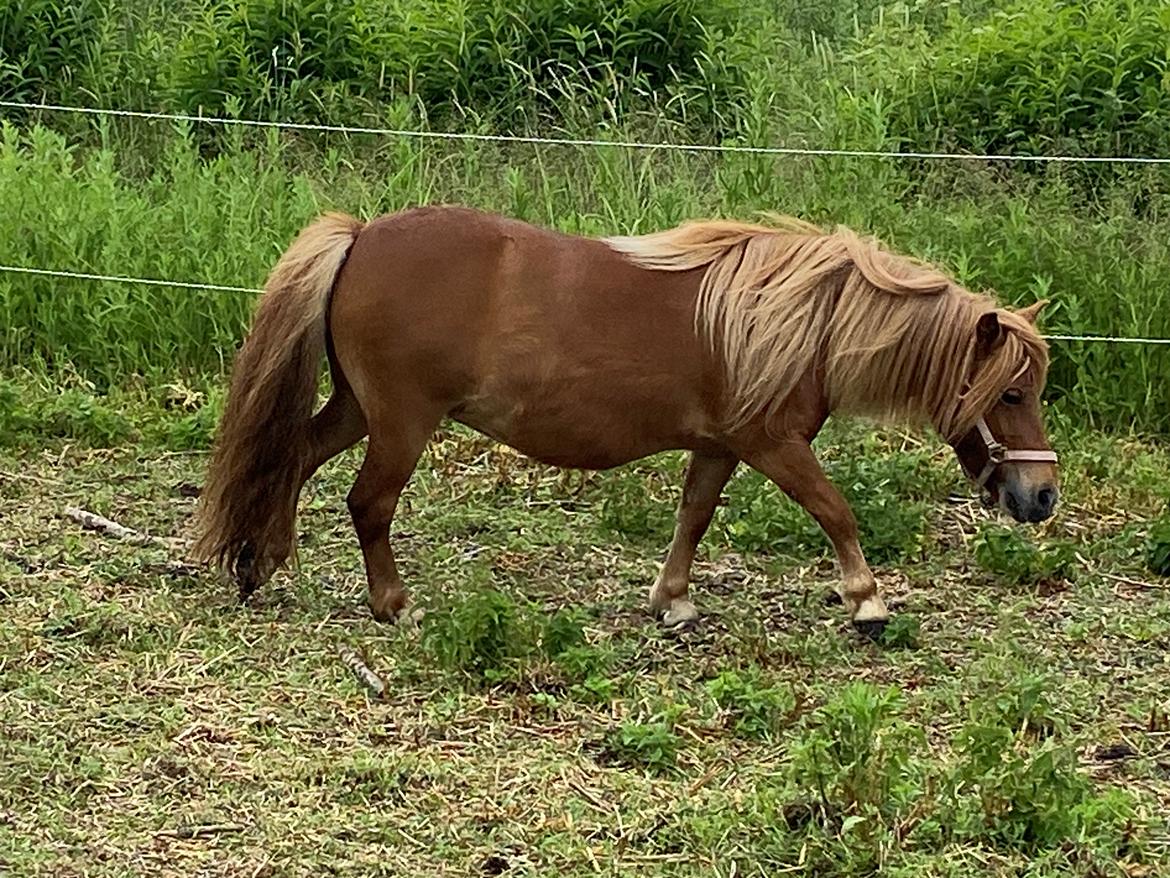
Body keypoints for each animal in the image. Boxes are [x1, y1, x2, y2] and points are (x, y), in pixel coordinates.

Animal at [194, 207, 1062, 641]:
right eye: (1014, 394)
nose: (1042, 496)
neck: (797, 318)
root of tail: (362, 236)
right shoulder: (772, 444)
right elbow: (835, 510)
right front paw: (868, 601)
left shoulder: (719, 447)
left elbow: (693, 518)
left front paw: (671, 601)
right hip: (402, 422)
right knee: (367, 504)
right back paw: (393, 604)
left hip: (357, 408)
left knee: (293, 457)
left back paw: (258, 562)